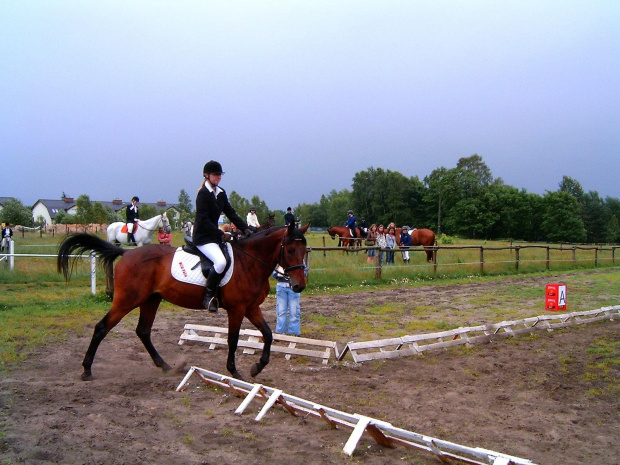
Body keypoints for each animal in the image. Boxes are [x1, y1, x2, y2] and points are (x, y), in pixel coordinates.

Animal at [57, 224, 308, 380]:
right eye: (290, 249)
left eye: (305, 250)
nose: (298, 286)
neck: (250, 262)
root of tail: (126, 253)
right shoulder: (237, 309)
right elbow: (233, 339)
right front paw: (234, 371)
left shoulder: (251, 307)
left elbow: (268, 334)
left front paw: (257, 367)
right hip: (127, 300)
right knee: (102, 328)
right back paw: (87, 370)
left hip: (151, 300)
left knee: (143, 331)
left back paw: (165, 366)